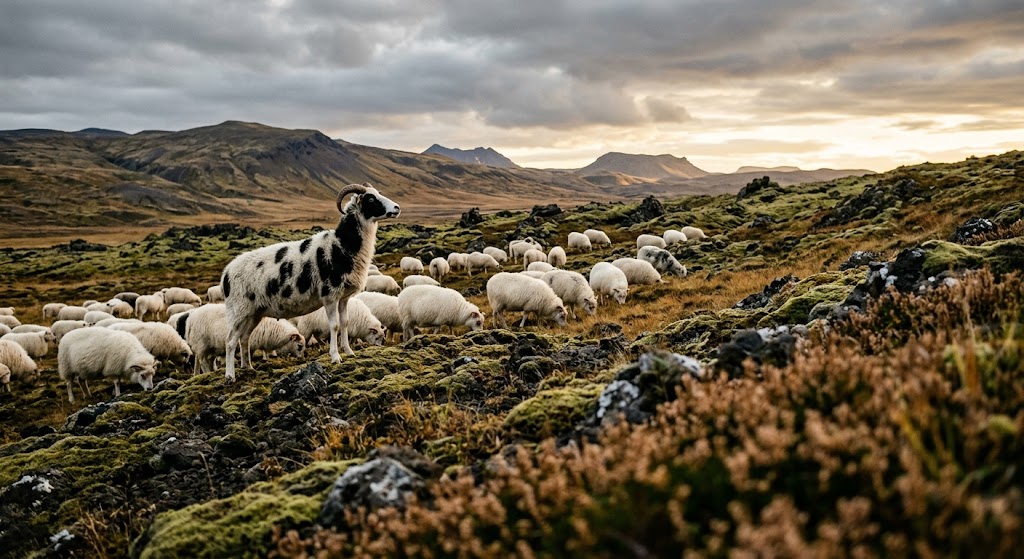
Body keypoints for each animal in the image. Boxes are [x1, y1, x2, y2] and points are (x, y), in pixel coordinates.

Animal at [220, 183, 398, 381]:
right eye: (371, 199)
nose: (397, 208)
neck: (342, 245)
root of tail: (226, 273)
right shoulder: (329, 295)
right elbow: (334, 326)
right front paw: (335, 357)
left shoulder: (344, 297)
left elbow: (345, 323)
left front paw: (349, 352)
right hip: (238, 310)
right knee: (230, 341)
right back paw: (230, 376)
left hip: (254, 313)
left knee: (244, 338)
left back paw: (248, 367)